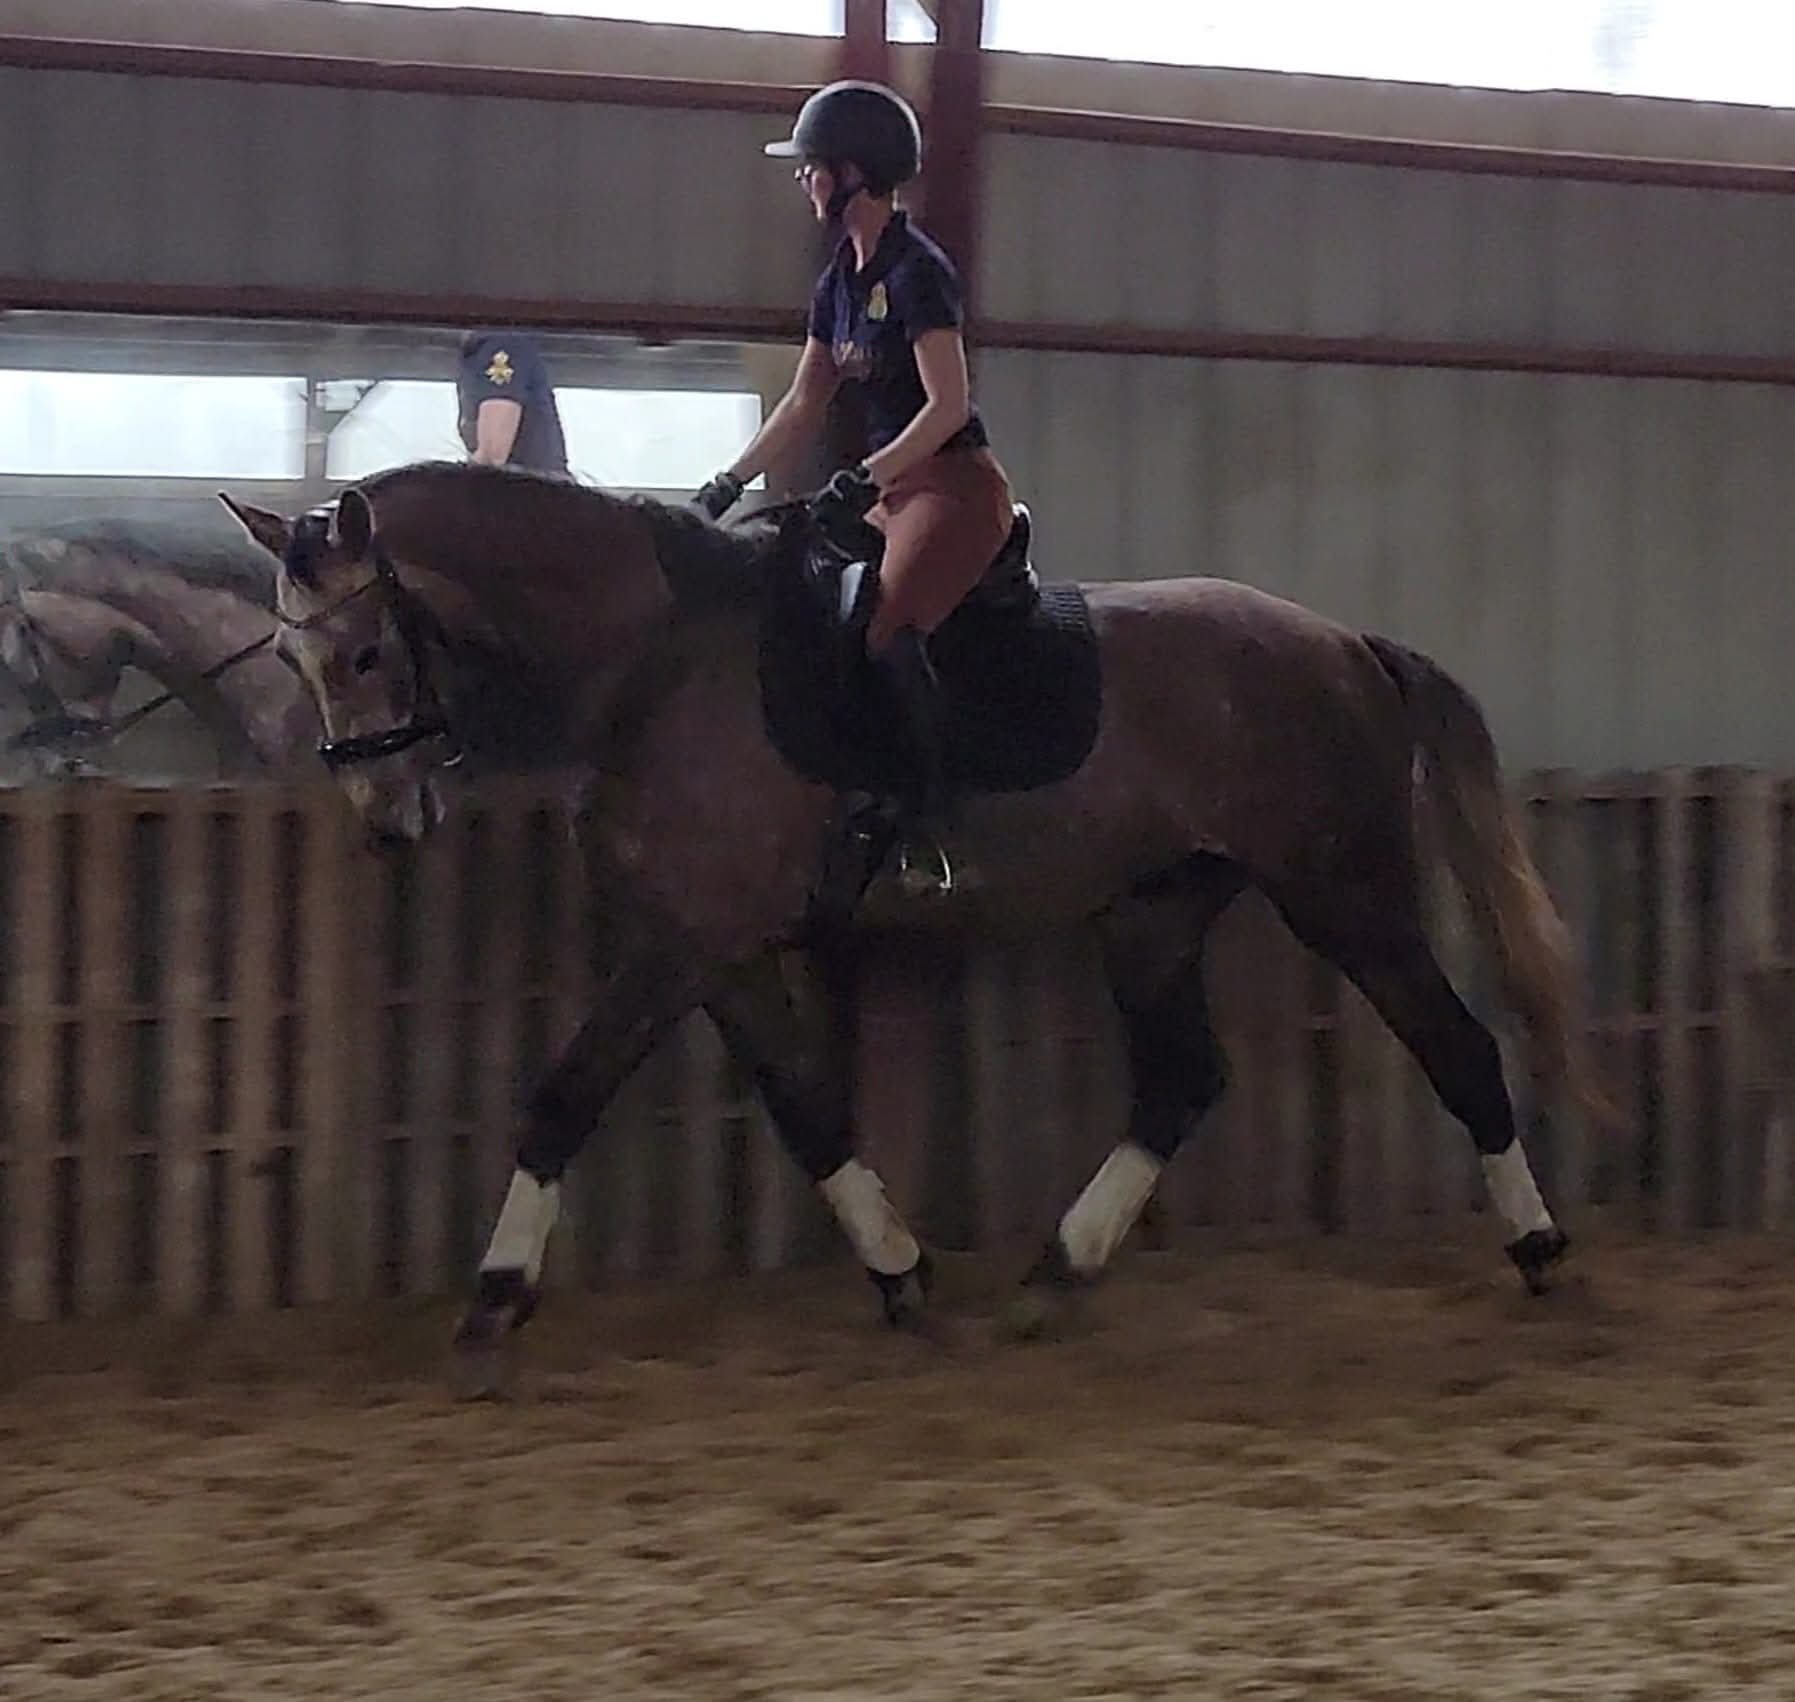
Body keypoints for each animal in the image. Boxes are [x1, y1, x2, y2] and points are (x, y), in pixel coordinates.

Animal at [220, 461, 1605, 1394]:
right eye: (291, 662)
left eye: (360, 654)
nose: (384, 822)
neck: (658, 660)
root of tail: (1345, 646)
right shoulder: (717, 948)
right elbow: (808, 1107)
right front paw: (900, 1272)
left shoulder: (679, 944)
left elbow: (563, 1098)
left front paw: (491, 1307)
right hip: (1155, 909)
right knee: (1179, 1080)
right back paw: (1055, 1277)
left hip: (1345, 895)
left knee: (1457, 1050)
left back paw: (1542, 1251)